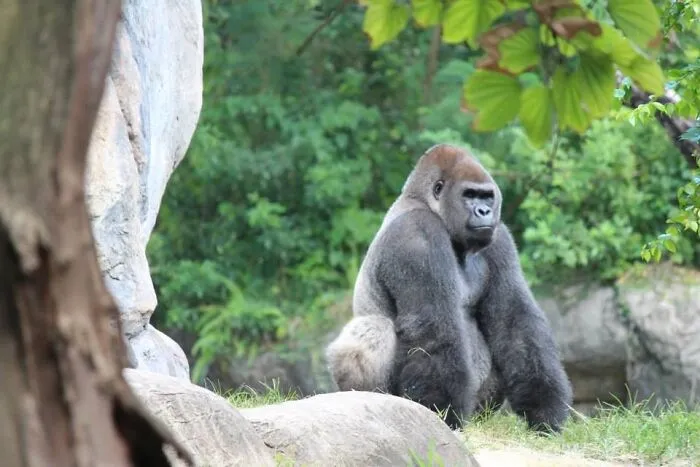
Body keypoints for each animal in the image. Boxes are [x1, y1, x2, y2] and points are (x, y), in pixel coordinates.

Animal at [325, 143, 573, 432]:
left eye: (487, 197)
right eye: (469, 195)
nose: (484, 212)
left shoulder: (500, 239)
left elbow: (514, 321)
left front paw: (544, 409)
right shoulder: (417, 234)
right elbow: (434, 328)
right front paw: (442, 414)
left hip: (480, 413)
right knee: (374, 326)